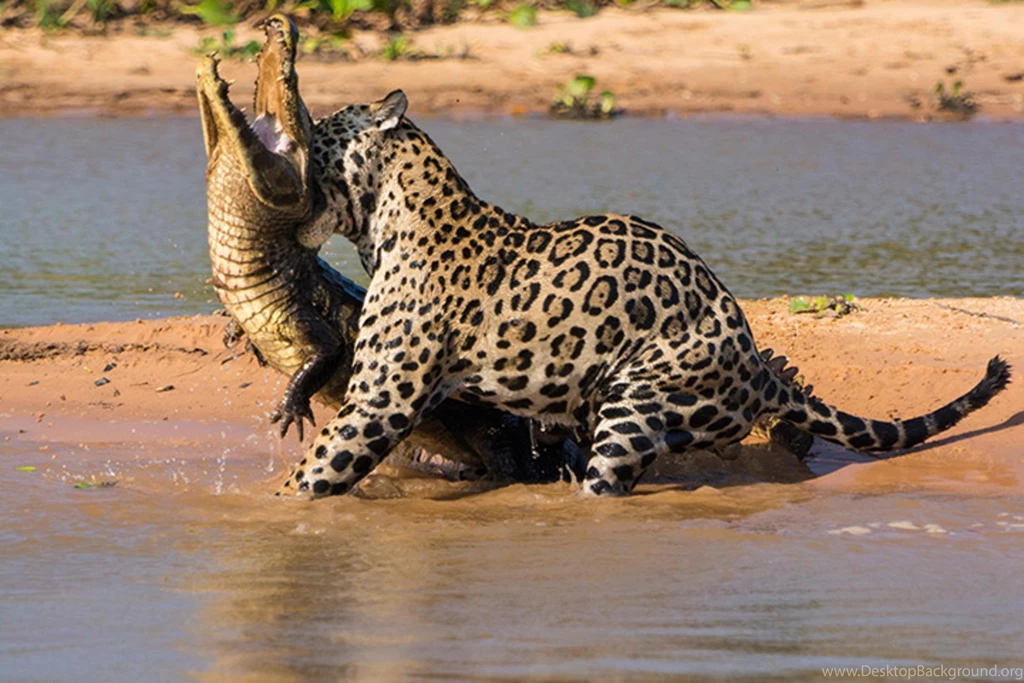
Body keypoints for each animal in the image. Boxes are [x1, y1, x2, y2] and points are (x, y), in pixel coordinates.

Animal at [277, 89, 1011, 498]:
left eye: (318, 134)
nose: (287, 139)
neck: (389, 218)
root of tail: (755, 365)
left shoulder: (382, 400)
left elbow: (317, 471)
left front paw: (278, 505)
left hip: (638, 403)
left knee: (609, 481)